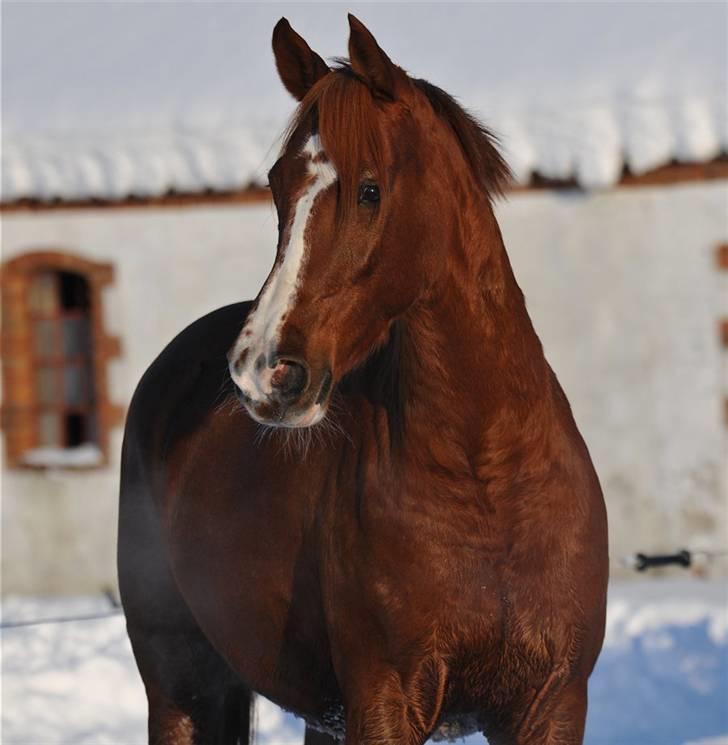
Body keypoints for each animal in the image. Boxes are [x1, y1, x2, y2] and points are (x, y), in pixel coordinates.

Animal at [119, 13, 608, 744]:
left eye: (370, 189)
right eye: (277, 185)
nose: (263, 370)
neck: (488, 477)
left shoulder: (551, 703)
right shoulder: (385, 699)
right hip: (182, 687)